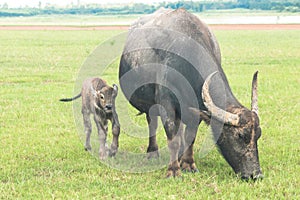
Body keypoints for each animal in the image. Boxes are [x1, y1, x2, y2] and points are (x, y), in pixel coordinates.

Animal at [119, 8, 262, 180]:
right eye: (240, 136)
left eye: (258, 135)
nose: (256, 174)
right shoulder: (167, 105)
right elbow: (172, 138)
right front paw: (173, 170)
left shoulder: (196, 109)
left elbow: (190, 136)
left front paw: (188, 165)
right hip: (150, 106)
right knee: (152, 123)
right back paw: (152, 152)